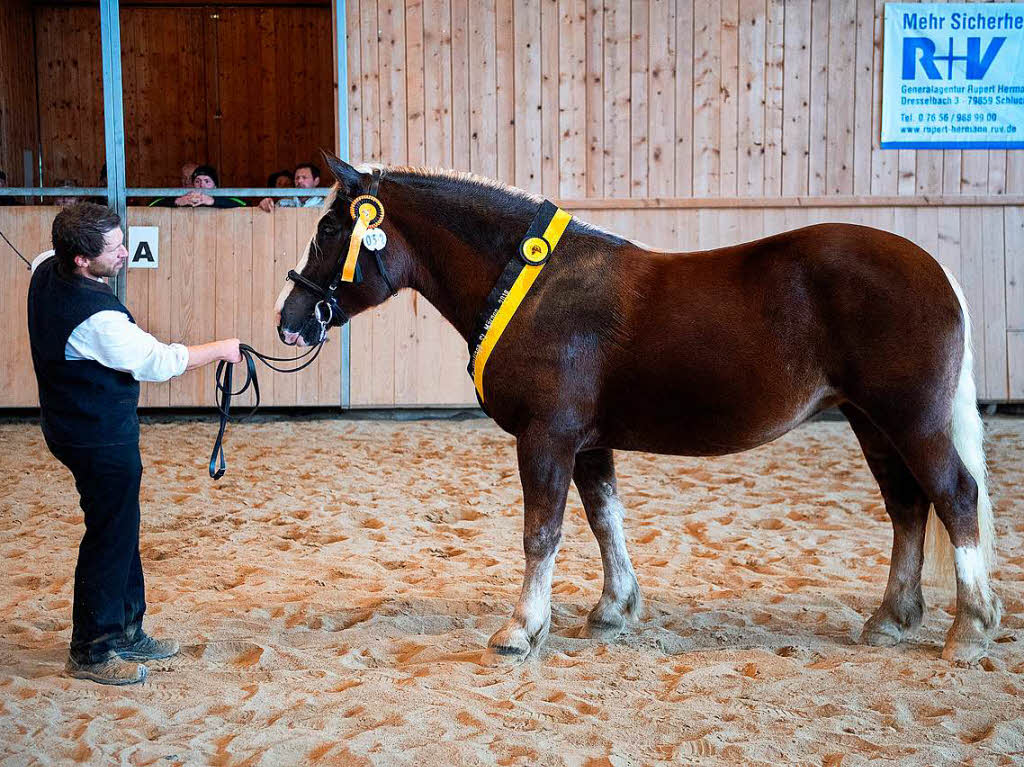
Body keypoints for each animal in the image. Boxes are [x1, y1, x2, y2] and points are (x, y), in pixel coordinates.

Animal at [274, 156, 999, 663]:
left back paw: (969, 628)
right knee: (907, 505)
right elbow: (605, 519)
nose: (291, 321)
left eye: (332, 227)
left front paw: (521, 628)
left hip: (910, 419)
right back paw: (891, 618)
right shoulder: (588, 441)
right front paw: (614, 610)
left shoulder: (546, 437)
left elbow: (543, 531)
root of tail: (935, 269)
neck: (535, 285)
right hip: (871, 422)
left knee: (954, 496)